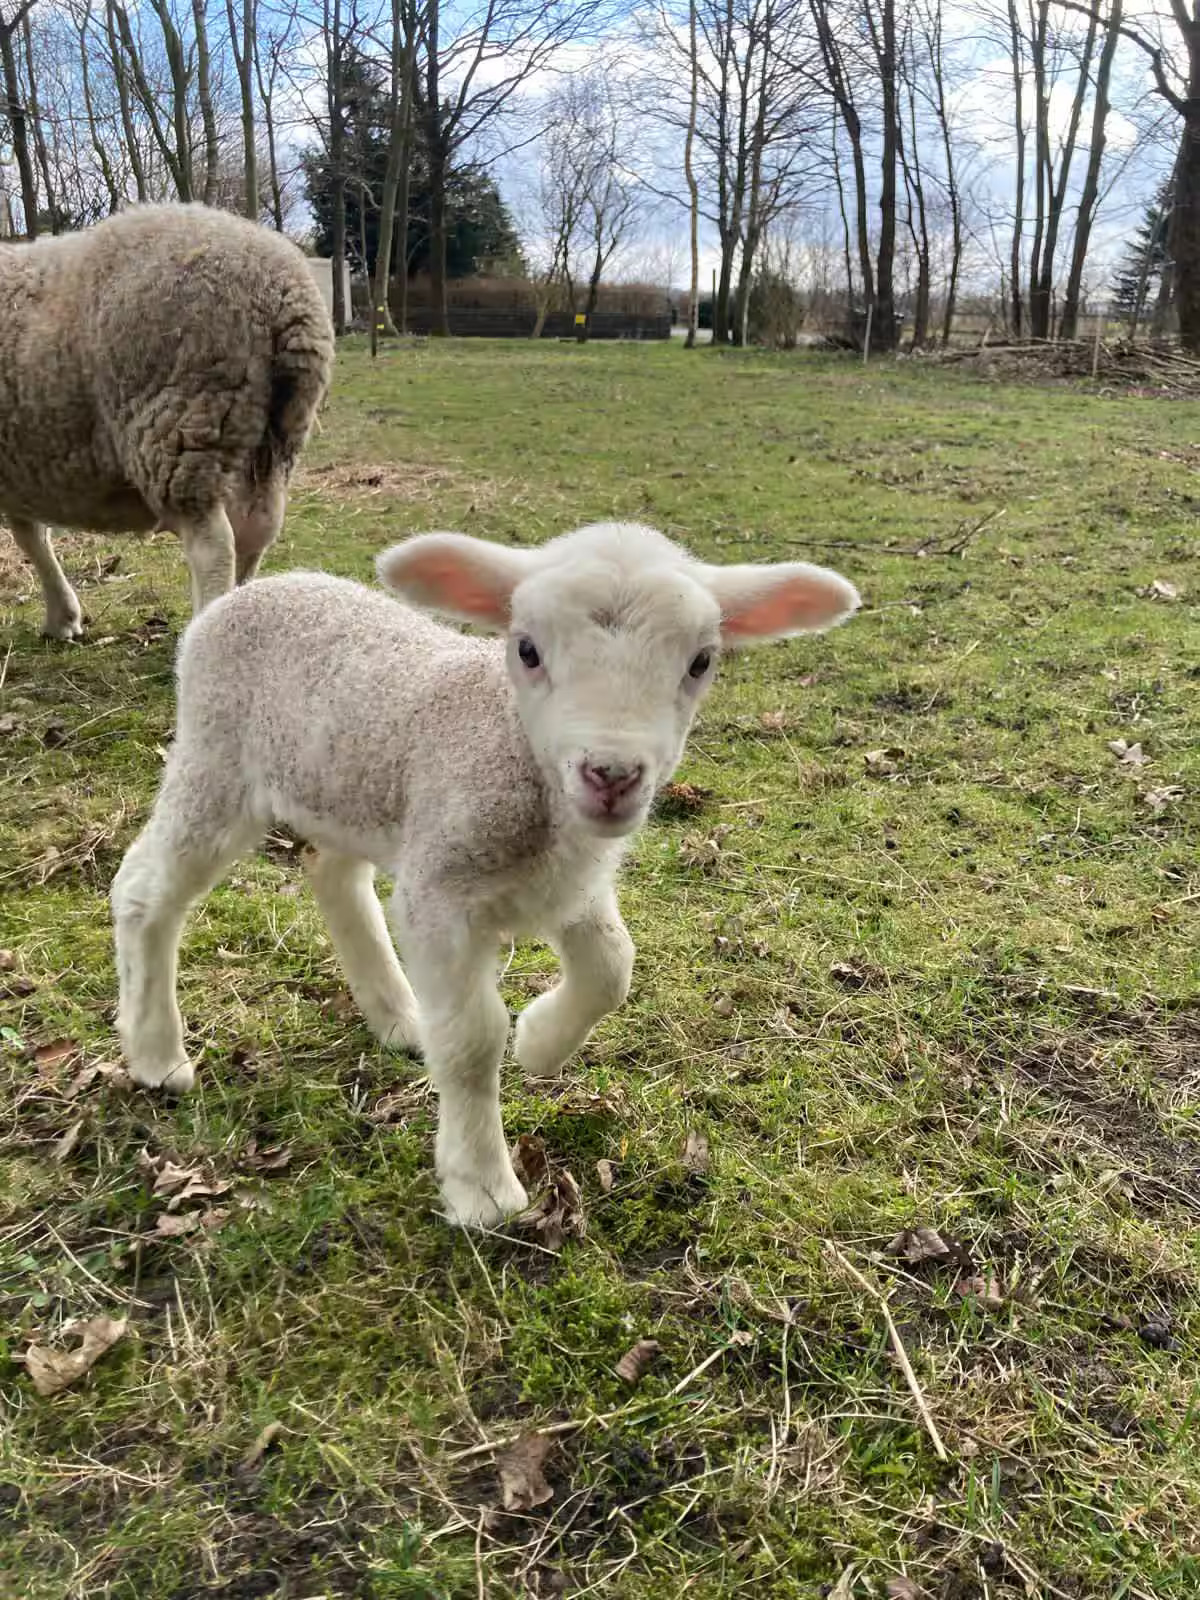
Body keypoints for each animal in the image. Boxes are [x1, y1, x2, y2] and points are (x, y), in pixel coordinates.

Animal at [0, 203, 334, 640]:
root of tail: (284, 292)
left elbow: (29, 536)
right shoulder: (20, 467)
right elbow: (31, 534)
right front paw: (63, 618)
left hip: (180, 426)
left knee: (213, 547)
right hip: (271, 438)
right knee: (256, 533)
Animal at [110, 521, 860, 1228]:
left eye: (701, 661)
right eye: (526, 650)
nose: (611, 774)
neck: (517, 758)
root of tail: (255, 590)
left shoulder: (570, 884)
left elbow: (612, 969)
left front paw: (540, 1044)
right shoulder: (442, 889)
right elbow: (473, 1038)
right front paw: (482, 1189)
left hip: (352, 791)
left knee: (332, 874)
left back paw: (399, 1016)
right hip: (216, 760)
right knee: (145, 890)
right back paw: (155, 1055)